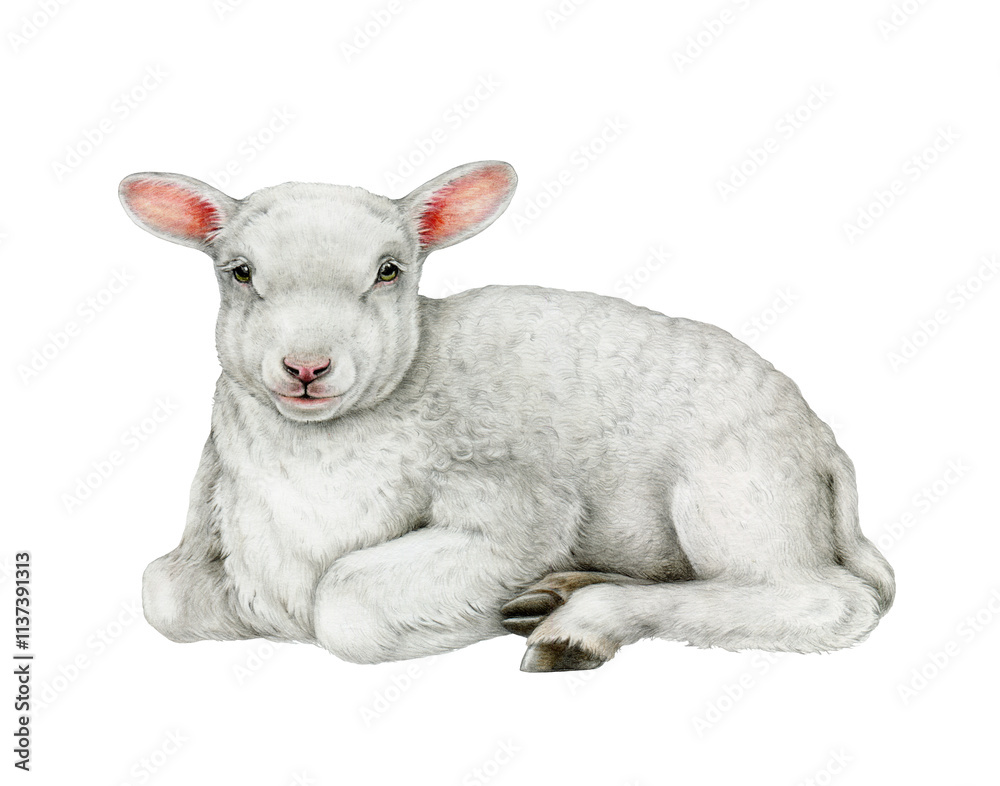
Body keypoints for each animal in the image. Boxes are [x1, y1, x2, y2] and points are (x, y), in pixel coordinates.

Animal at [119, 161, 894, 672]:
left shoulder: (519, 504)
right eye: (240, 271)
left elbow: (343, 605)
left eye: (389, 270)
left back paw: (574, 627)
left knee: (828, 603)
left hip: (733, 498)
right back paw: (557, 594)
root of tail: (824, 446)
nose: (306, 368)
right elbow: (161, 593)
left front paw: (469, 625)